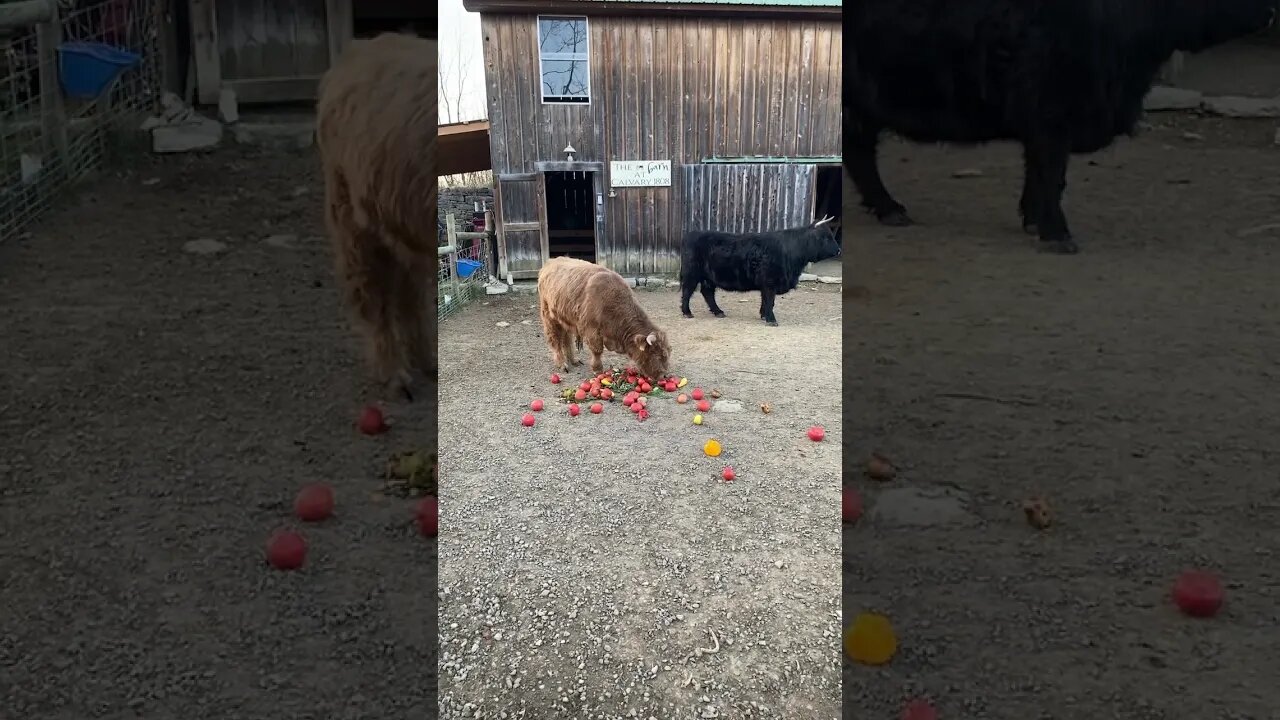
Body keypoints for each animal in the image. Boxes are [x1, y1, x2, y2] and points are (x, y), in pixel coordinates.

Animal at [316, 32, 437, 397]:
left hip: (403, 226)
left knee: (409, 296)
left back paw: (427, 362)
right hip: (353, 221)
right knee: (374, 295)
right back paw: (395, 375)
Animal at [535, 257, 670, 381]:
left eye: (667, 354)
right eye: (657, 356)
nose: (664, 375)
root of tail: (551, 262)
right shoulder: (592, 330)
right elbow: (597, 351)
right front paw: (598, 369)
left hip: (565, 318)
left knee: (566, 339)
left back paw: (573, 360)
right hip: (549, 316)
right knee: (555, 339)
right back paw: (562, 364)